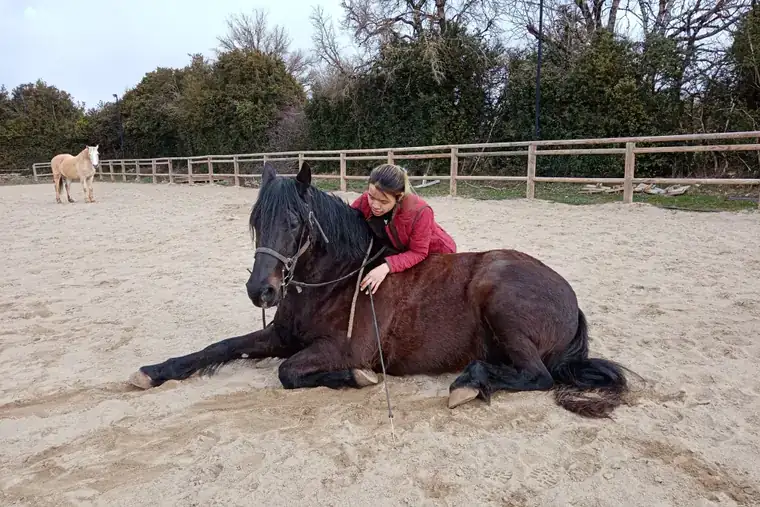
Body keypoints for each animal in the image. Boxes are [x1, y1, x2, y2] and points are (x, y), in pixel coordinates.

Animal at [128, 161, 631, 418]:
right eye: (255, 222)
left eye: (293, 222)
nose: (261, 292)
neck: (337, 279)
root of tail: (570, 299)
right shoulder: (278, 335)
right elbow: (219, 348)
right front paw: (153, 371)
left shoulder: (343, 349)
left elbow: (288, 372)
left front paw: (356, 380)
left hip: (501, 302)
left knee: (537, 376)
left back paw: (470, 383)